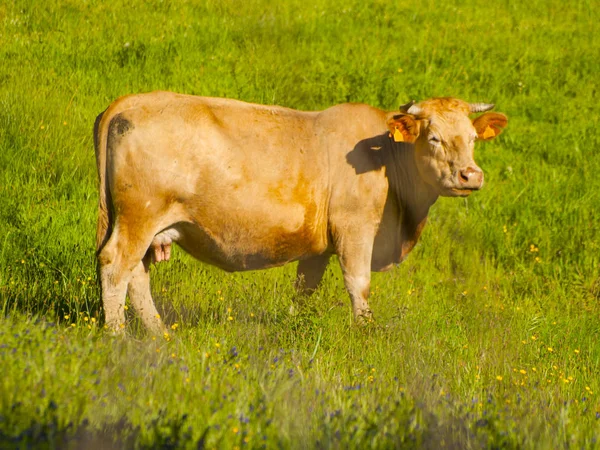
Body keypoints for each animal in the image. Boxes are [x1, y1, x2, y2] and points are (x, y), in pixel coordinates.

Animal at [94, 91, 506, 332]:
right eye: (433, 138)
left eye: (472, 138)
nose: (471, 175)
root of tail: (129, 101)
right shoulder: (355, 228)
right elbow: (359, 284)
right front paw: (365, 333)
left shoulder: (318, 247)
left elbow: (304, 289)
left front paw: (294, 327)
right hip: (139, 218)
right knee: (116, 267)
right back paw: (118, 336)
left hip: (148, 227)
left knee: (137, 276)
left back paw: (159, 336)